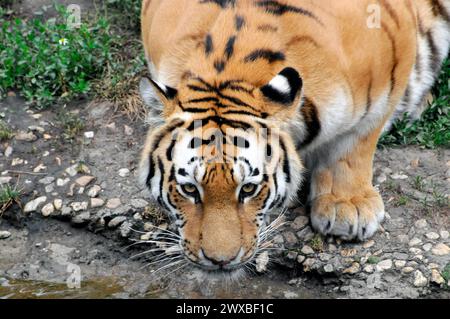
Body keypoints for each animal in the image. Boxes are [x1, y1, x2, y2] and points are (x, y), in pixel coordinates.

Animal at [138, 0, 450, 274]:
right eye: (189, 189)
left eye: (248, 189)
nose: (219, 261)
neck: (230, 72)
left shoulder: (389, 67)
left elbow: (355, 142)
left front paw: (347, 207)